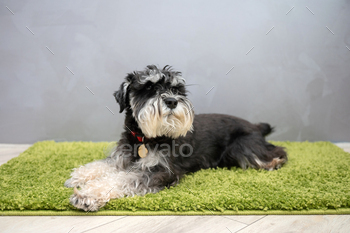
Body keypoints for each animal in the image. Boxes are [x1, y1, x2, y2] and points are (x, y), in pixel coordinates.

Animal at [65, 65, 288, 211]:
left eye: (176, 89)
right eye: (149, 87)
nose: (172, 101)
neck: (145, 139)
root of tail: (256, 126)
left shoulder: (160, 171)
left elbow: (121, 179)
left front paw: (86, 195)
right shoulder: (121, 158)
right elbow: (102, 166)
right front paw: (78, 177)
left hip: (242, 147)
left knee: (277, 151)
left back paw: (275, 162)